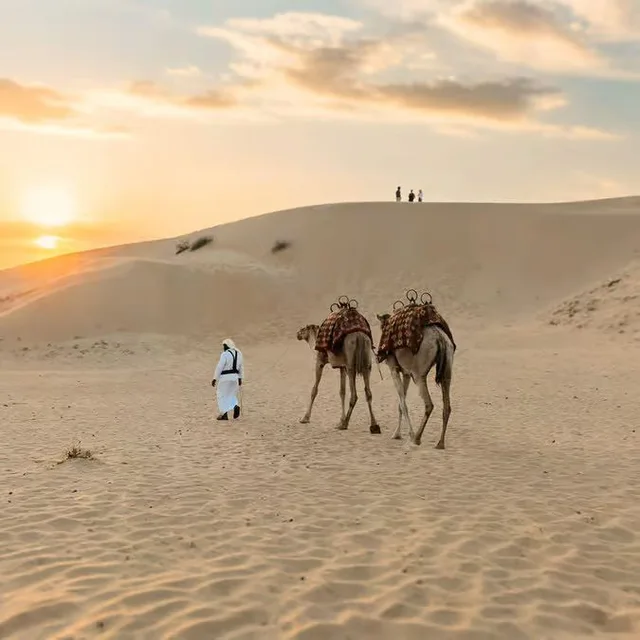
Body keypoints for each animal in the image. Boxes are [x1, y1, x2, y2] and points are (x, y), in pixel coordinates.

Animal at [376, 314, 454, 448]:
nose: (380, 356)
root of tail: (439, 338)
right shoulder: (406, 373)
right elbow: (401, 403)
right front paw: (397, 434)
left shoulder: (394, 368)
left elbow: (403, 403)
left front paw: (407, 434)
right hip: (447, 369)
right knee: (447, 405)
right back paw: (440, 443)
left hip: (419, 375)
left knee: (429, 404)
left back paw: (417, 438)